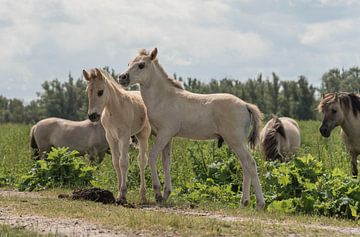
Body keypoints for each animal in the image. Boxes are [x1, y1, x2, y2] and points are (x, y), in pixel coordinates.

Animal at [82, 67, 151, 203]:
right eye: (88, 92)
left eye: (100, 92)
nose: (92, 116)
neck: (114, 110)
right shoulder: (111, 137)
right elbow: (115, 162)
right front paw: (118, 192)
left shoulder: (124, 136)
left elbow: (123, 162)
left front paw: (123, 194)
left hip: (143, 135)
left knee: (141, 161)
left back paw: (143, 195)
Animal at [117, 47, 264, 209]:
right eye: (129, 63)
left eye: (141, 65)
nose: (122, 77)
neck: (163, 98)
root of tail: (245, 105)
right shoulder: (168, 138)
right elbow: (166, 162)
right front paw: (166, 193)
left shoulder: (164, 134)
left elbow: (153, 156)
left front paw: (157, 193)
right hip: (237, 142)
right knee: (245, 166)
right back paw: (244, 202)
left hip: (235, 141)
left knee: (250, 164)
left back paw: (260, 203)